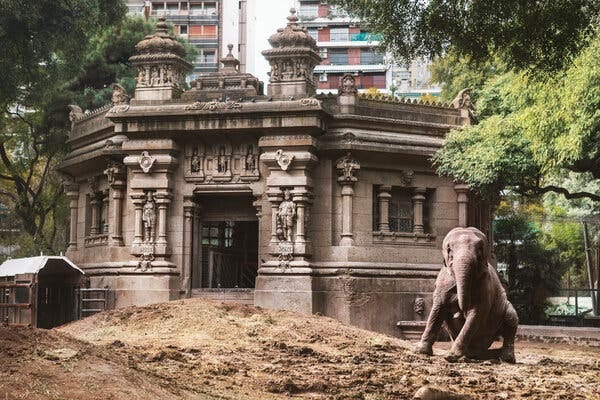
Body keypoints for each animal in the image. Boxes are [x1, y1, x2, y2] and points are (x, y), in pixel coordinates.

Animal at [414, 228, 516, 362]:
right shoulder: (442, 284)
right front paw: (420, 351)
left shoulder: (484, 286)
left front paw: (451, 356)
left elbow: (475, 314)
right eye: (449, 250)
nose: (460, 311)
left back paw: (505, 358)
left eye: (480, 249)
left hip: (506, 308)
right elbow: (437, 310)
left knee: (511, 319)